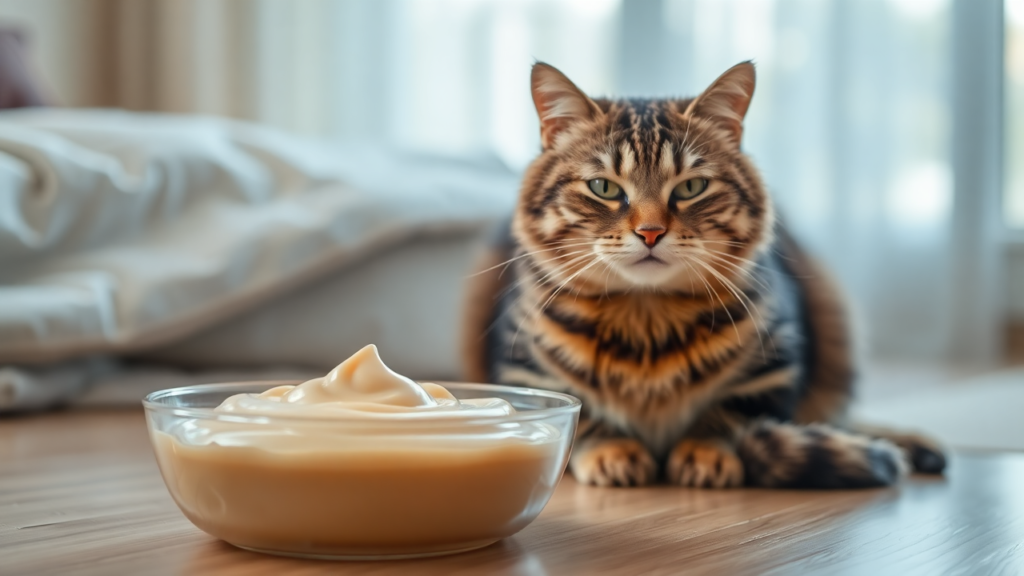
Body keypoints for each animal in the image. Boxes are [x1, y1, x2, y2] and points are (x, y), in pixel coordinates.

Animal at [460, 61, 946, 483]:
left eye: (692, 187)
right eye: (604, 188)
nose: (650, 232)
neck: (645, 327)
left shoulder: (774, 363)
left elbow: (728, 413)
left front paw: (704, 451)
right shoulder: (523, 366)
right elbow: (585, 414)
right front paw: (613, 449)